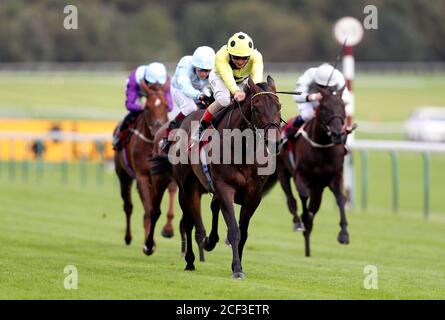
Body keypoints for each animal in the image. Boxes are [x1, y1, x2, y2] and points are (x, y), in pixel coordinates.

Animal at [112, 83, 177, 255]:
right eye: (147, 107)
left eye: (166, 105)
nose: (158, 128)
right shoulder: (141, 176)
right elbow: (148, 209)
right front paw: (149, 244)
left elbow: (171, 193)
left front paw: (168, 229)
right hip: (123, 176)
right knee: (128, 207)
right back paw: (128, 237)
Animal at [151, 75, 280, 278]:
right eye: (256, 108)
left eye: (279, 106)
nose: (275, 142)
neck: (243, 151)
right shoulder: (224, 188)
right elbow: (234, 230)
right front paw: (237, 269)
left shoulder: (254, 196)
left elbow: (243, 232)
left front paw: (237, 265)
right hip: (187, 188)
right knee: (189, 223)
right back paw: (191, 258)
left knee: (211, 208)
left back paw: (210, 241)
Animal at [276, 85, 348, 258]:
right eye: (325, 107)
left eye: (343, 106)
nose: (337, 134)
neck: (322, 148)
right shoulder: (300, 175)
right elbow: (303, 196)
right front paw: (303, 219)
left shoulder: (335, 176)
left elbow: (341, 199)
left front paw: (343, 234)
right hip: (282, 172)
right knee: (291, 200)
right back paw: (299, 221)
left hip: (318, 189)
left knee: (313, 207)